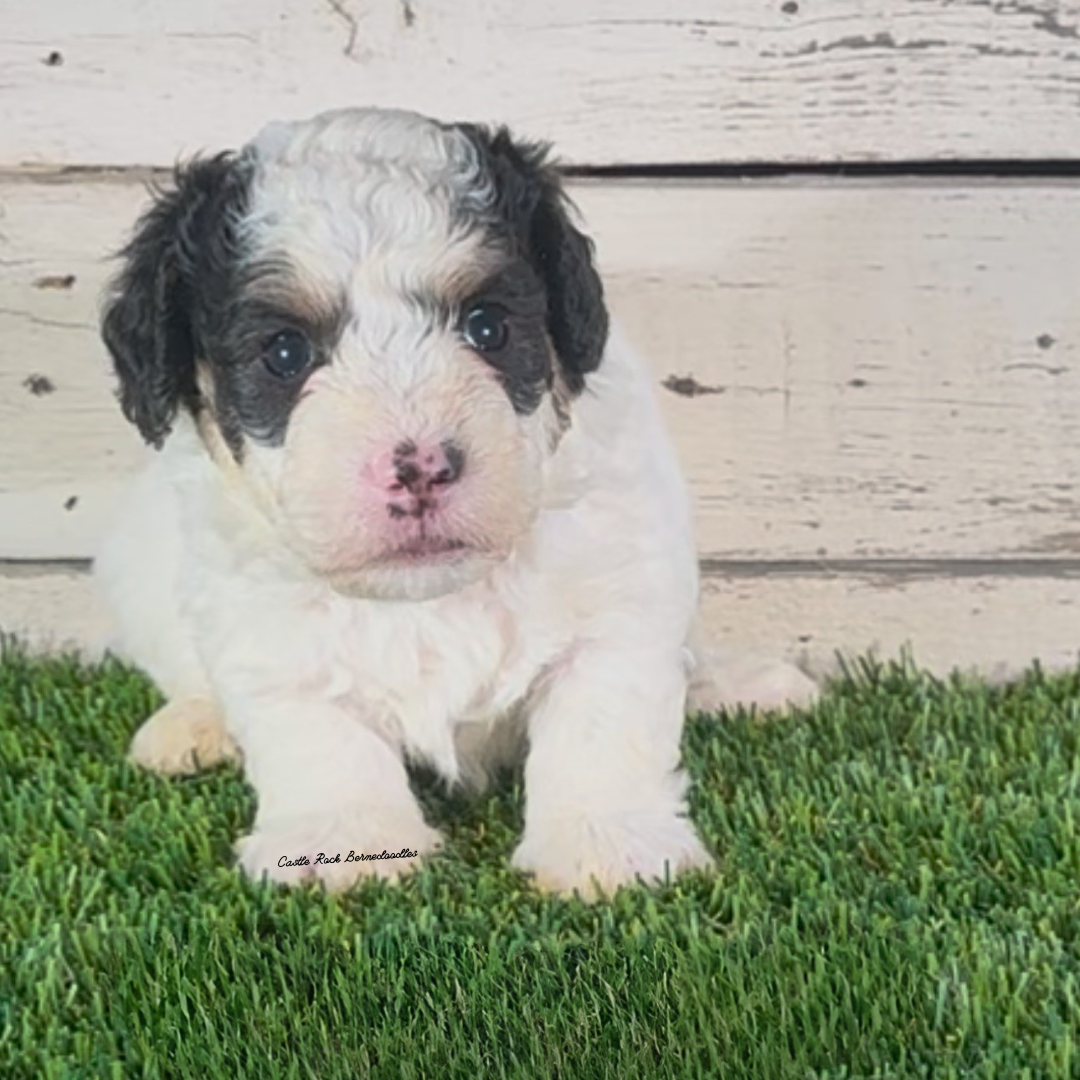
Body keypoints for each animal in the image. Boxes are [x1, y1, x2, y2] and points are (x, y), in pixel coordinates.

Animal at [95, 105, 816, 898]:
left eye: (487, 326)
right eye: (284, 353)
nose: (422, 468)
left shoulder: (620, 594)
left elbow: (601, 720)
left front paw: (605, 843)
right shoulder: (264, 627)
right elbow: (319, 733)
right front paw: (344, 840)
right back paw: (191, 726)